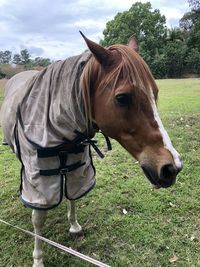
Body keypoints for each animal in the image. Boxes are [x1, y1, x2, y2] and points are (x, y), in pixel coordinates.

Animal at [0, 33, 183, 267]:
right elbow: (38, 219)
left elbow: (73, 195)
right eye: (122, 98)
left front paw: (74, 225)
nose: (172, 167)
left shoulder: (77, 167)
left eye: (155, 93)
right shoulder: (39, 181)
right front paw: (38, 259)